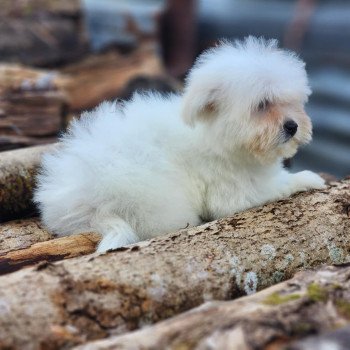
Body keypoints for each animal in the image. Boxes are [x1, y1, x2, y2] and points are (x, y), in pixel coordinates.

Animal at [34, 37, 326, 252]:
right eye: (263, 105)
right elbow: (274, 187)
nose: (292, 126)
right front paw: (307, 178)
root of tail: (87, 205)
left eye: (293, 102)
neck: (214, 136)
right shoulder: (232, 189)